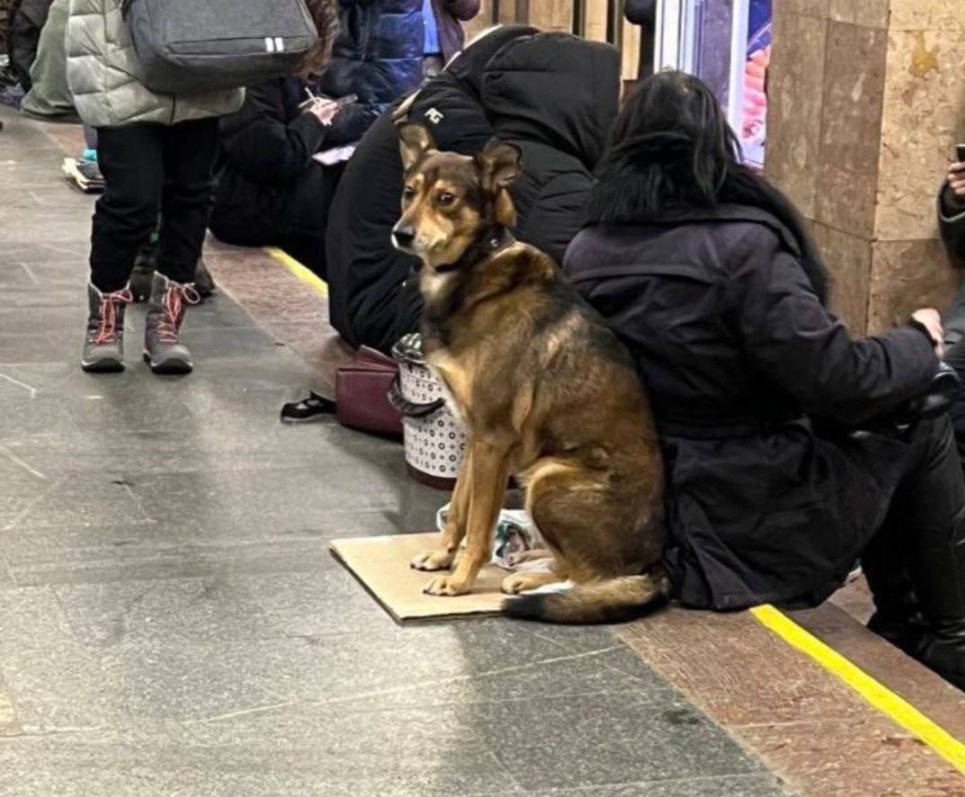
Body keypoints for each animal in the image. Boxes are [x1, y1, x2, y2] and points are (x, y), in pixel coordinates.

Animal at [388, 123, 668, 620]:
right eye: (409, 191)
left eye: (446, 199)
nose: (400, 234)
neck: (476, 263)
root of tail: (654, 567)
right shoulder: (475, 438)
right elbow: (459, 510)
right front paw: (442, 558)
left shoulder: (494, 440)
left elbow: (480, 526)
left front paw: (459, 581)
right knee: (573, 566)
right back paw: (526, 558)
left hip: (548, 477)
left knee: (587, 574)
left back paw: (528, 577)